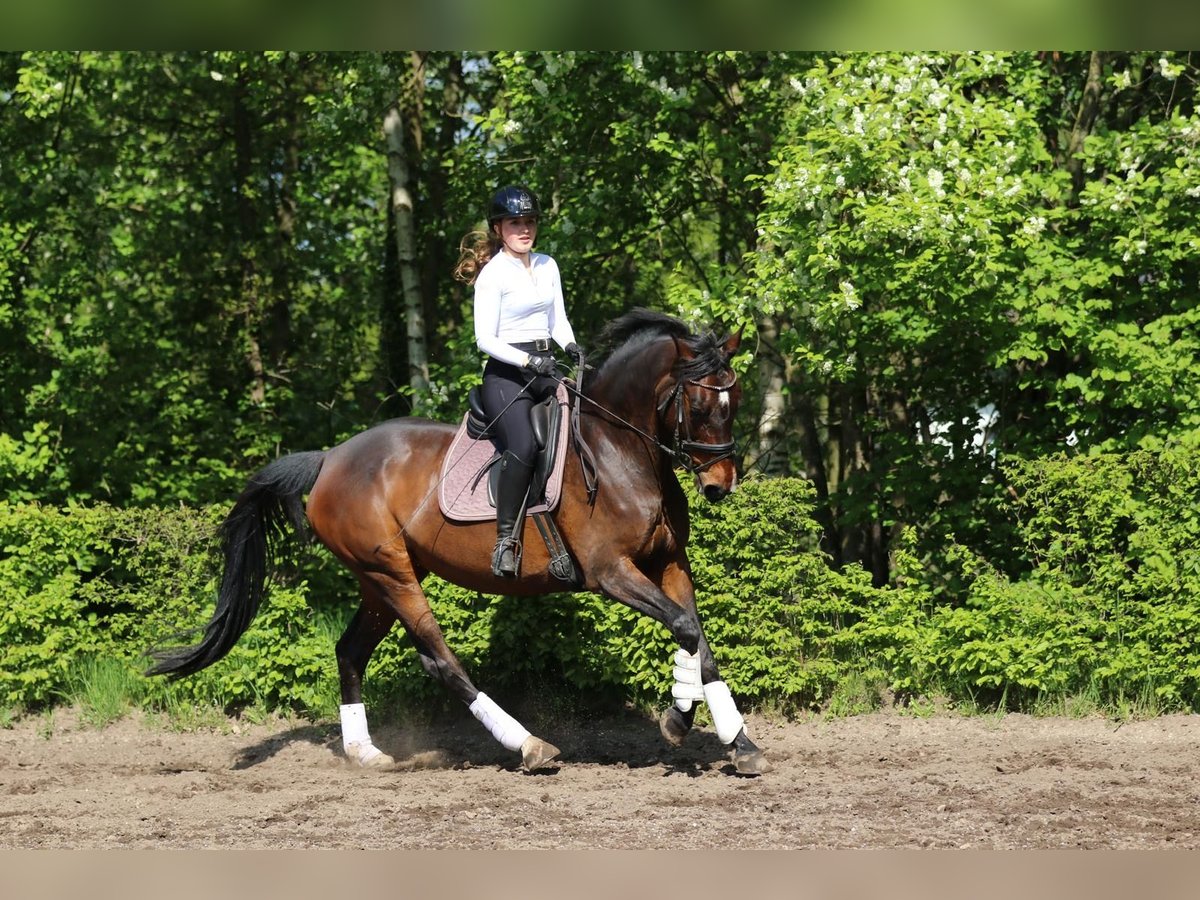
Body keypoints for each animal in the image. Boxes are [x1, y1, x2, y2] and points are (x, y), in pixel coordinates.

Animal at [148, 308, 768, 776]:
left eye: (735, 400)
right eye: (700, 404)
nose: (720, 485)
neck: (620, 449)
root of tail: (329, 459)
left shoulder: (669, 563)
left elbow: (699, 638)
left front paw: (740, 743)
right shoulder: (610, 571)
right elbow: (684, 628)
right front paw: (677, 721)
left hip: (380, 579)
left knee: (350, 651)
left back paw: (365, 752)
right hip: (392, 575)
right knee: (439, 659)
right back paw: (528, 745)